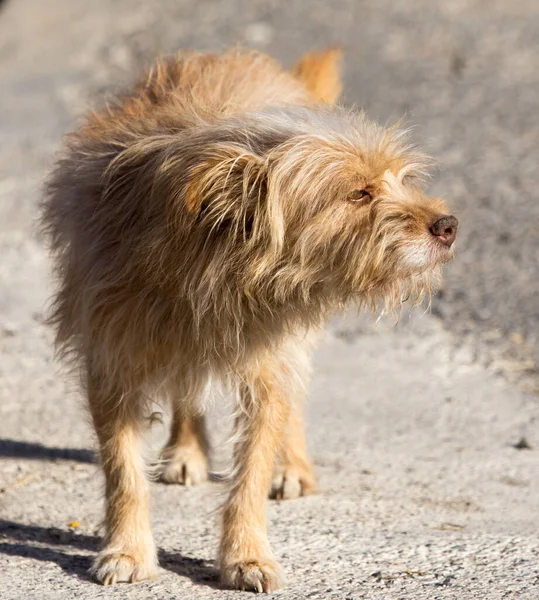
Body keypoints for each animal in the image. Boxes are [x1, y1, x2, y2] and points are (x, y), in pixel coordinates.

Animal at [40, 45, 458, 592]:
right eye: (359, 193)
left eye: (400, 180)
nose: (448, 225)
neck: (208, 270)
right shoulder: (112, 363)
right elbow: (123, 471)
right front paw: (127, 550)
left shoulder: (267, 369)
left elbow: (251, 475)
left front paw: (246, 556)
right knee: (187, 385)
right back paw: (186, 449)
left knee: (291, 396)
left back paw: (292, 464)